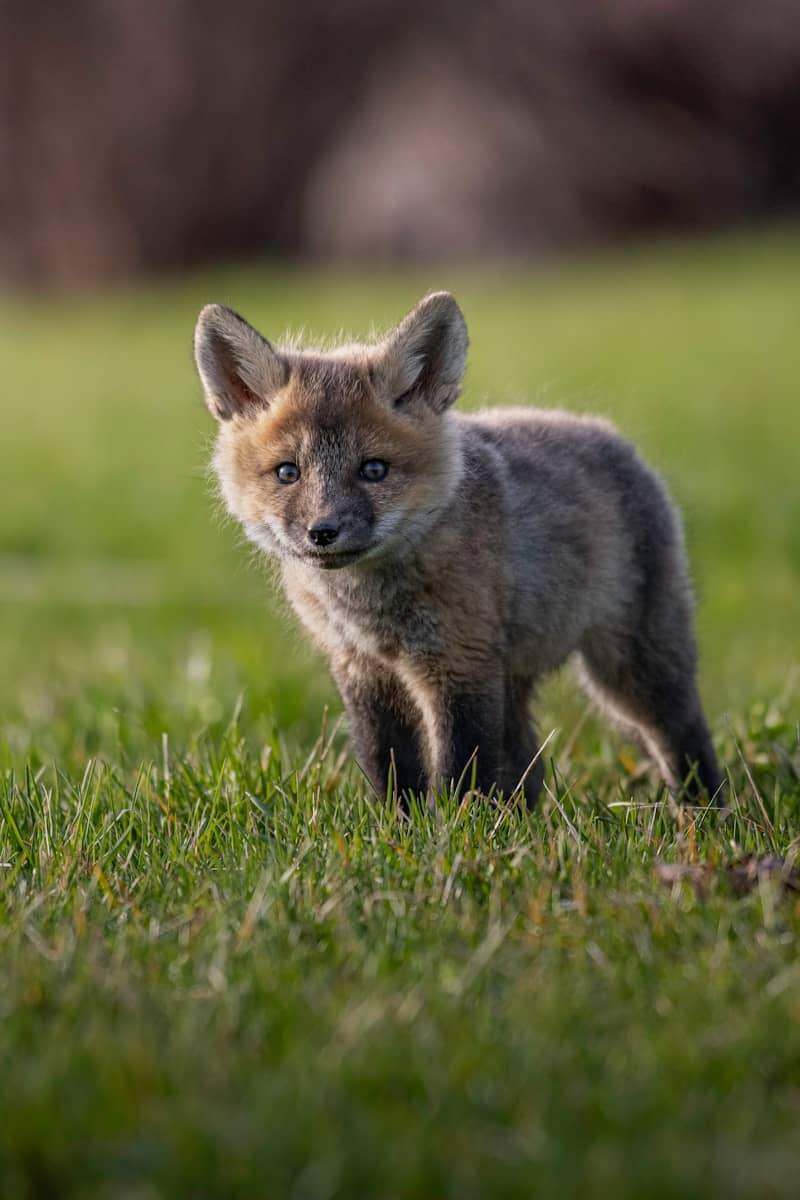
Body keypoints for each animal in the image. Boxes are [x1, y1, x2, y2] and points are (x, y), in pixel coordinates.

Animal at [194, 292, 724, 806]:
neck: (372, 609)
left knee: (681, 734)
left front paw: (454, 830)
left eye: (374, 470)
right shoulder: (362, 669)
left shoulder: (458, 663)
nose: (322, 531)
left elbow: (460, 773)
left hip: (633, 669)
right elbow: (389, 767)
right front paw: (400, 827)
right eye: (288, 472)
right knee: (527, 767)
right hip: (515, 678)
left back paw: (704, 812)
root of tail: (611, 435)